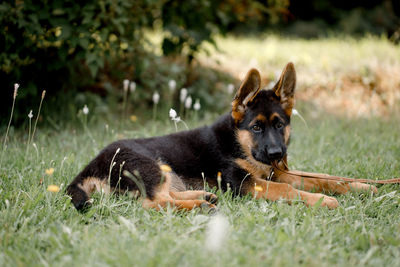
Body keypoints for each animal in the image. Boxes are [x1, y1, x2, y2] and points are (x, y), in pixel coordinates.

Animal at [67, 62, 376, 211]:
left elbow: (324, 178)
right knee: (152, 203)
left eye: (280, 125)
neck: (238, 143)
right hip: (149, 164)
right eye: (256, 128)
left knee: (162, 195)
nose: (277, 155)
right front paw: (324, 201)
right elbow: (288, 190)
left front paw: (361, 187)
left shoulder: (276, 173)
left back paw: (203, 196)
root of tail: (89, 167)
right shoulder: (246, 183)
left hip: (163, 171)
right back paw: (199, 206)